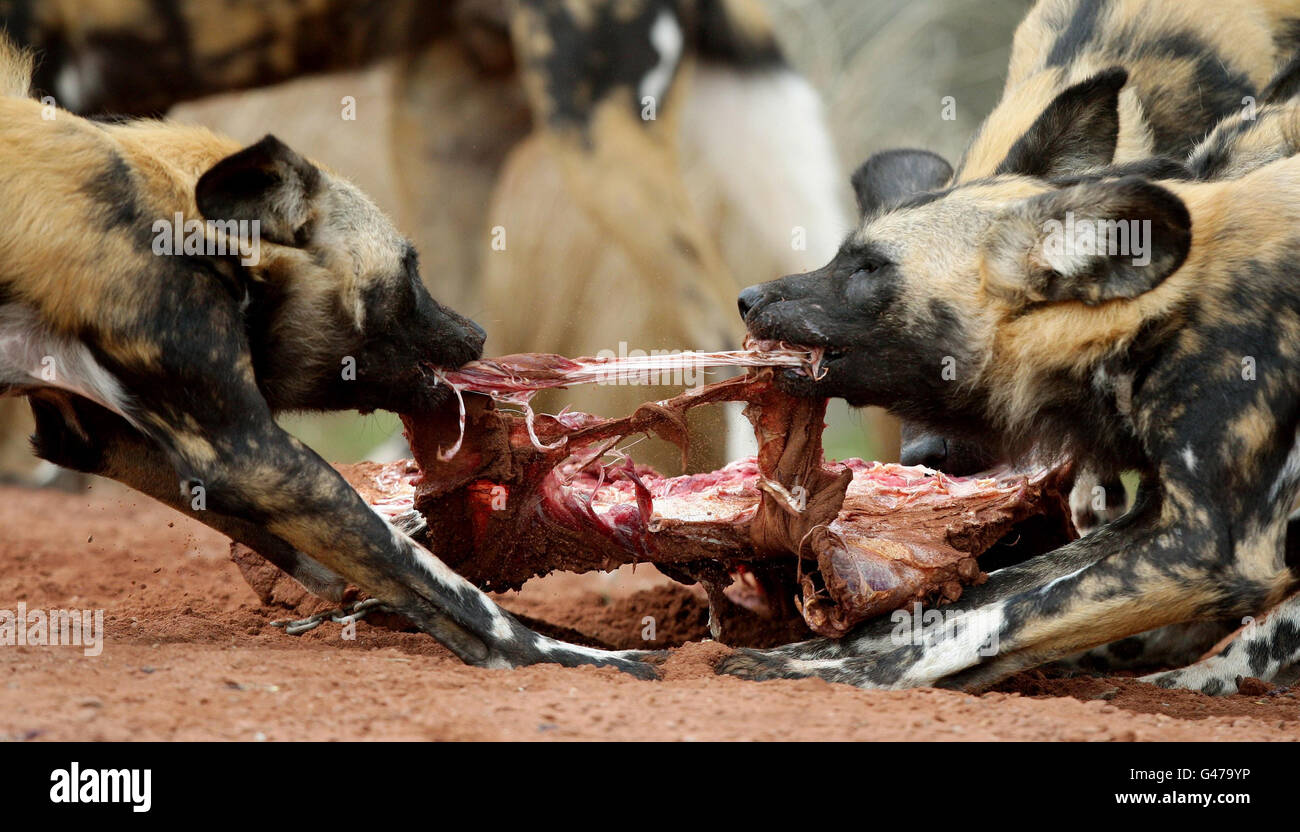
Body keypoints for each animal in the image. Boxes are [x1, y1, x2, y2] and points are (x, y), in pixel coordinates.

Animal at [0, 35, 655, 681]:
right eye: (409, 269)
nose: (478, 334)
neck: (190, 233)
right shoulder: (250, 457)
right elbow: (457, 595)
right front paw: (595, 661)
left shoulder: (95, 437)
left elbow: (366, 558)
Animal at [728, 92, 1300, 696]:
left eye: (869, 267)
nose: (747, 298)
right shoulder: (1152, 519)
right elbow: (969, 603)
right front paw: (808, 656)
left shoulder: (1209, 548)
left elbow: (997, 618)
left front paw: (836, 676)